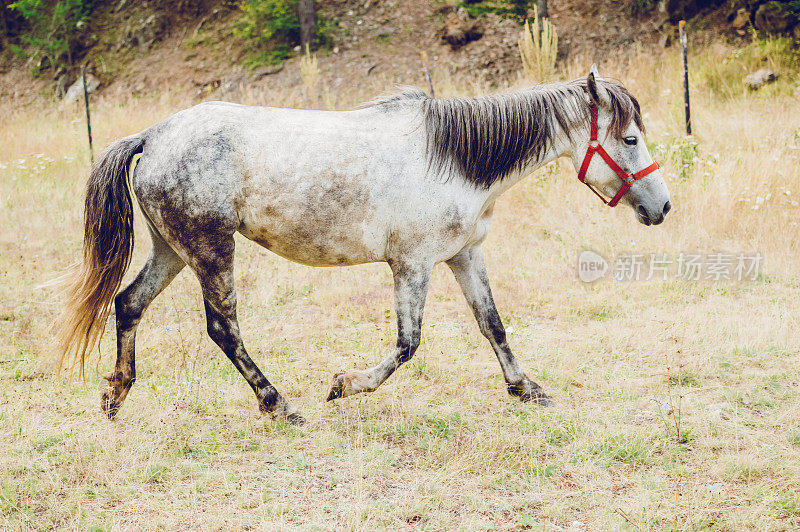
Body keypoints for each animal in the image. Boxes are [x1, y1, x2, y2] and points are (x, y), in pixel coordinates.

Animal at [54, 66, 668, 424]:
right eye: (629, 139)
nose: (662, 207)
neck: (454, 159)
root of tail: (153, 136)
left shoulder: (463, 255)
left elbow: (492, 324)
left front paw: (526, 388)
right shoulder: (413, 264)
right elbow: (408, 344)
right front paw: (343, 386)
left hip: (172, 249)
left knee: (129, 303)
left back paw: (115, 395)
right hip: (209, 250)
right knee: (223, 329)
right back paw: (280, 406)